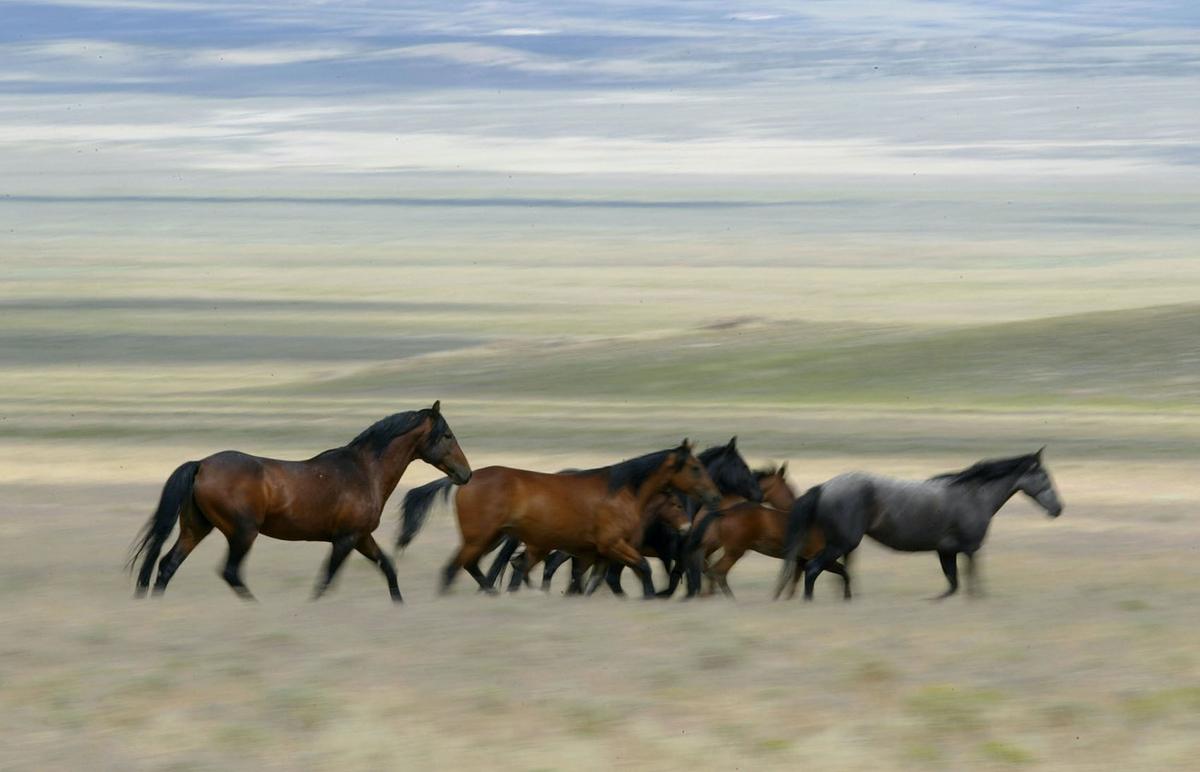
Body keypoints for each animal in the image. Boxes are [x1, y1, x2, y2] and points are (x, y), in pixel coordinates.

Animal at [127, 401, 471, 602]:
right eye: (447, 435)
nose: (465, 474)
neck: (364, 471)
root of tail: (201, 464)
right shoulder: (345, 540)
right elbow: (326, 581)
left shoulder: (360, 537)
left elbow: (388, 567)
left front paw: (399, 605)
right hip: (242, 532)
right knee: (230, 572)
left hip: (196, 527)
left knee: (168, 564)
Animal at [397, 440, 722, 598]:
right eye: (695, 468)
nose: (715, 496)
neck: (621, 490)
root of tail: (465, 479)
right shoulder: (611, 544)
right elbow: (642, 568)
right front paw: (652, 596)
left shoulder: (595, 552)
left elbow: (589, 579)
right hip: (482, 537)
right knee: (454, 569)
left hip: (493, 538)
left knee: (478, 566)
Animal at [682, 464, 850, 599]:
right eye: (789, 489)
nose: (795, 505)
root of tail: (723, 512)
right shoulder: (813, 558)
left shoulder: (800, 560)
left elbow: (791, 583)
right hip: (733, 551)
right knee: (717, 572)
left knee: (708, 569)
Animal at [775, 448, 1063, 601]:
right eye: (1044, 477)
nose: (1058, 509)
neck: (974, 495)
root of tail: (825, 487)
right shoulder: (969, 549)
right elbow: (971, 583)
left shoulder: (946, 551)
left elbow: (953, 585)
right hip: (841, 543)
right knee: (813, 568)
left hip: (843, 544)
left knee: (837, 571)